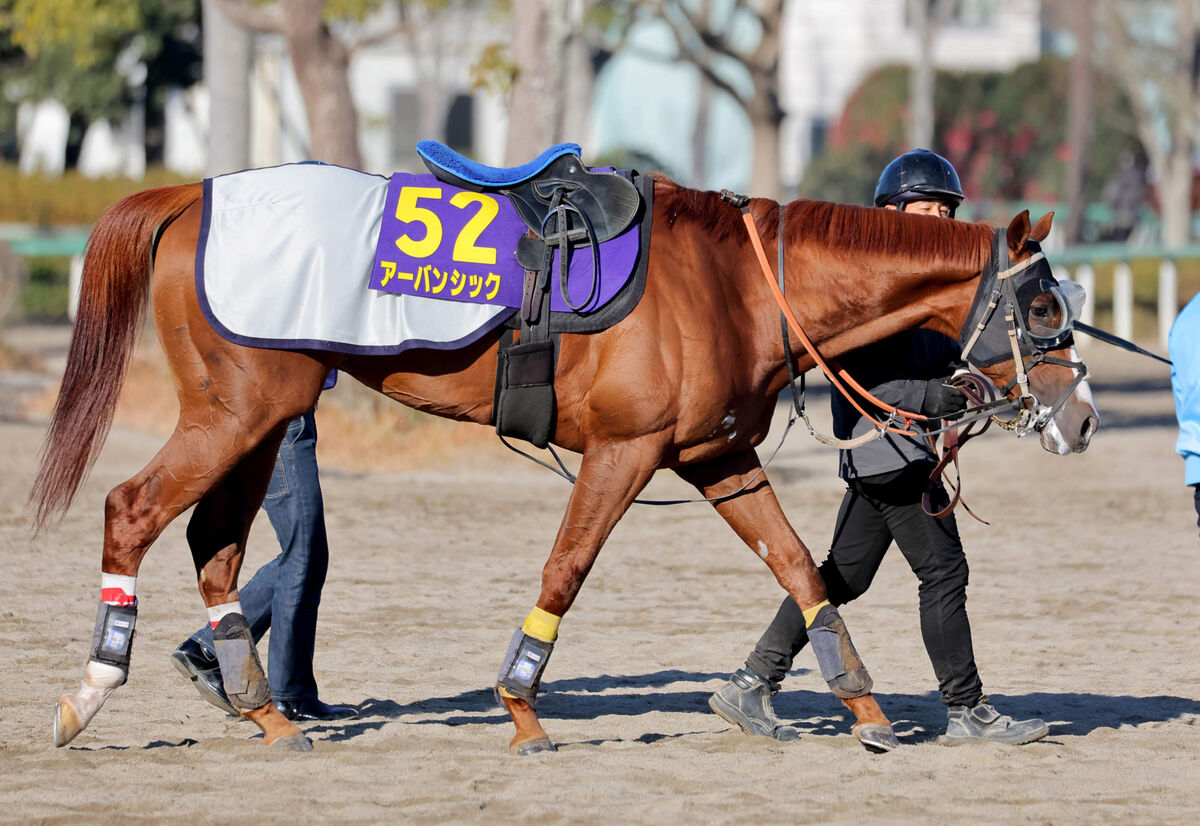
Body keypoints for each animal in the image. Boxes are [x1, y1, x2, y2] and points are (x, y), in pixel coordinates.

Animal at [30, 175, 1099, 753]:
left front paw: (863, 705)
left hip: (259, 417)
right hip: (241, 411)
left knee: (214, 542)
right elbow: (567, 568)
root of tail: (191, 195)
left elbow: (802, 569)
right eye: (1045, 306)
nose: (1083, 417)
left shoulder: (718, 455)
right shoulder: (625, 453)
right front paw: (522, 707)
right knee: (132, 509)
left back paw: (263, 712)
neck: (739, 283)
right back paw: (91, 692)